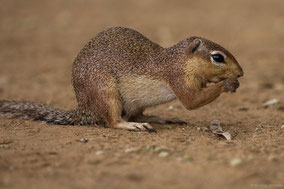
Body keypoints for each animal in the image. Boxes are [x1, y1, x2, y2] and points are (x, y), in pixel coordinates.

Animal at [1, 26, 243, 132]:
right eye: (217, 57)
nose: (241, 73)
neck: (177, 60)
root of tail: (84, 110)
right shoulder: (177, 76)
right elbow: (192, 100)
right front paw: (227, 83)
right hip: (106, 92)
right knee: (112, 121)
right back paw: (133, 126)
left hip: (135, 102)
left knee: (136, 114)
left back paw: (160, 118)